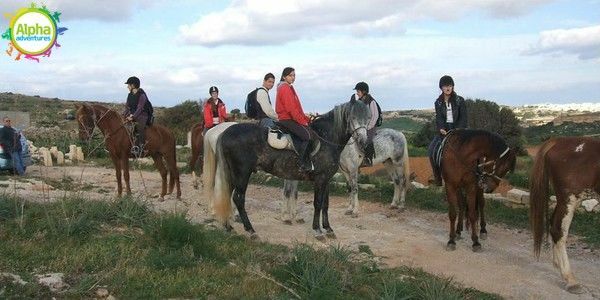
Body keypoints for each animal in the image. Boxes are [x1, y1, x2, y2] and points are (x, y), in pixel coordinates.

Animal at [209, 99, 372, 240]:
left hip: (232, 173)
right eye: (353, 117)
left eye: (369, 118)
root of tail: (225, 132)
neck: (326, 139)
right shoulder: (320, 179)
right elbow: (317, 203)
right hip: (242, 173)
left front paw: (328, 228)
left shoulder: (326, 179)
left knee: (227, 195)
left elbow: (325, 204)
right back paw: (250, 230)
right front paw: (317, 230)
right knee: (238, 198)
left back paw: (228, 226)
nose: (363, 142)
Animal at [282, 127, 412, 221]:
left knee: (402, 181)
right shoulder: (345, 171)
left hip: (398, 162)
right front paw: (349, 209)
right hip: (388, 162)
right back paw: (394, 204)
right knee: (396, 181)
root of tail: (399, 133)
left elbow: (355, 188)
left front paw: (355, 211)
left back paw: (401, 205)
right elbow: (349, 189)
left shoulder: (353, 170)